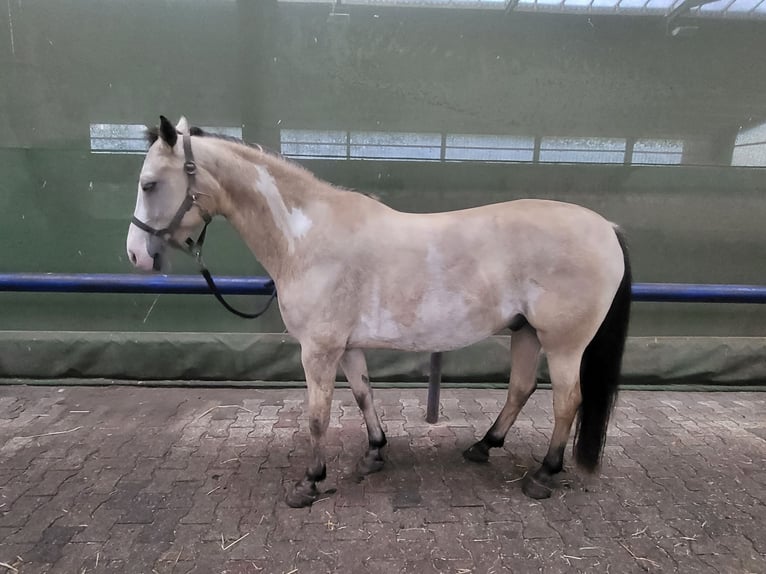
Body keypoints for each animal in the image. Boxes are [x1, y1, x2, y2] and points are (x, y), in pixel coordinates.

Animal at [126, 116, 632, 508]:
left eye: (149, 184)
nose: (136, 256)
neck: (306, 237)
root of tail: (606, 227)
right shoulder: (347, 347)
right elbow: (363, 395)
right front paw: (374, 453)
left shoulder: (319, 350)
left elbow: (317, 415)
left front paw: (310, 483)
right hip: (524, 332)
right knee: (520, 390)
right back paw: (483, 446)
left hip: (564, 344)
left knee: (567, 401)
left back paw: (543, 475)